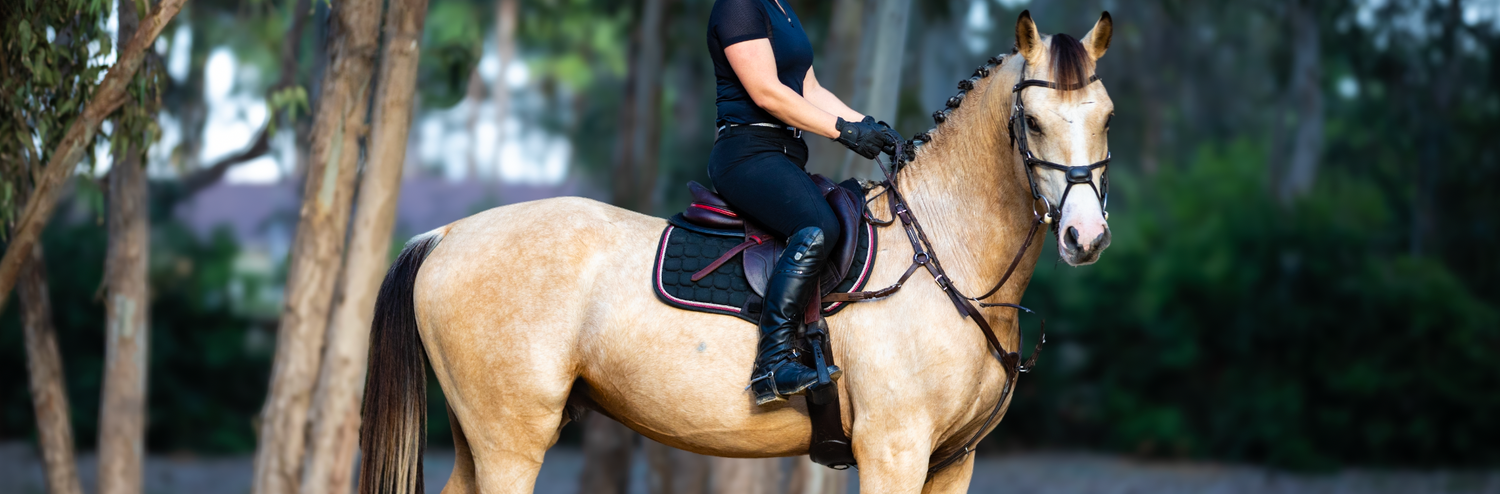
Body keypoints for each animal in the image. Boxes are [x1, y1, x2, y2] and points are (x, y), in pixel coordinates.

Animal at [358, 10, 1115, 494]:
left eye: (1106, 117)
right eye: (1032, 123)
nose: (1085, 238)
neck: (943, 252)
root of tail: (448, 234)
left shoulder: (952, 463)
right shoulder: (895, 450)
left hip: (478, 438)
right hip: (510, 438)